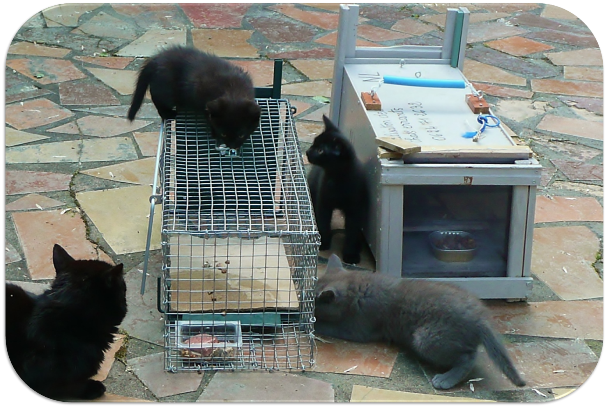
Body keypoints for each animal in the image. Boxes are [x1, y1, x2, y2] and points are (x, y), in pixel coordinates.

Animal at [128, 45, 262, 150]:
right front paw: (213, 131)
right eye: (223, 134)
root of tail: (155, 60)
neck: (232, 89)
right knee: (158, 101)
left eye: (241, 135)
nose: (232, 146)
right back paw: (169, 113)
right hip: (164, 90)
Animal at [306, 115, 368, 264]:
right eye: (314, 143)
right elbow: (323, 221)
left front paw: (350, 254)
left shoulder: (355, 208)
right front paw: (323, 243)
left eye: (321, 151)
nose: (308, 152)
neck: (337, 178)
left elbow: (352, 230)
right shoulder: (323, 202)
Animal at [316, 255, 528, 392]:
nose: (307, 305)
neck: (358, 285)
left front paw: (310, 322)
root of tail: (481, 317)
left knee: (468, 357)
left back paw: (446, 379)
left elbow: (332, 327)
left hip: (426, 338)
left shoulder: (359, 327)